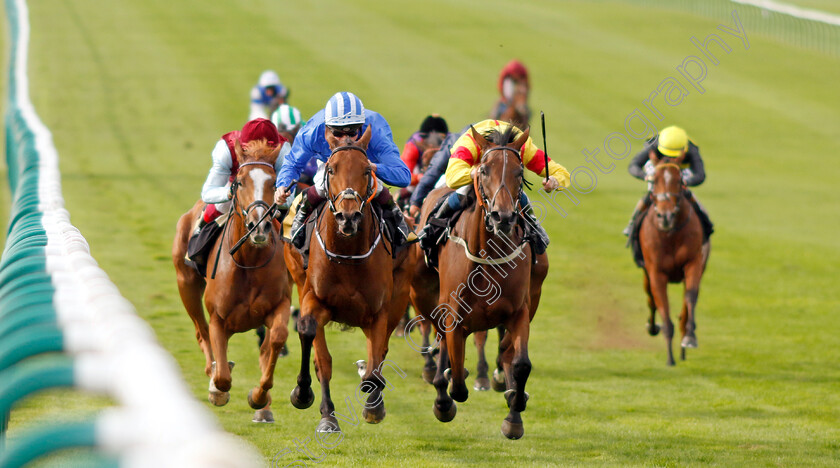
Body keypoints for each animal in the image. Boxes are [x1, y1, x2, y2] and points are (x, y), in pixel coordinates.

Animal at [171, 137, 292, 422]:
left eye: (274, 182)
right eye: (240, 181)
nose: (259, 226)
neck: (248, 262)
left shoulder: (279, 305)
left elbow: (276, 339)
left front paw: (259, 397)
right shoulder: (219, 318)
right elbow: (223, 376)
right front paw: (217, 390)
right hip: (186, 284)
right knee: (201, 332)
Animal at [284, 126, 416, 434]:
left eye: (367, 170)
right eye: (331, 169)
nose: (348, 217)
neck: (347, 255)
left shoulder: (379, 310)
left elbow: (376, 364)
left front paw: (373, 403)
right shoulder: (314, 298)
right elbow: (316, 347)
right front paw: (315, 405)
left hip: (398, 297)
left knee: (379, 352)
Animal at [410, 125, 548, 438]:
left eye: (519, 172)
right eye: (484, 170)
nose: (503, 216)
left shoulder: (519, 310)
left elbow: (520, 363)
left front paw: (514, 411)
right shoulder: (453, 313)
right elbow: (458, 379)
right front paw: (447, 394)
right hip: (420, 292)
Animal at [640, 153, 712, 366]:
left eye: (679, 180)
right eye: (654, 180)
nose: (665, 216)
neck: (670, 235)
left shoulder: (693, 263)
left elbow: (691, 296)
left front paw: (689, 337)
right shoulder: (656, 272)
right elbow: (661, 305)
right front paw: (670, 358)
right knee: (651, 299)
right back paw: (653, 327)